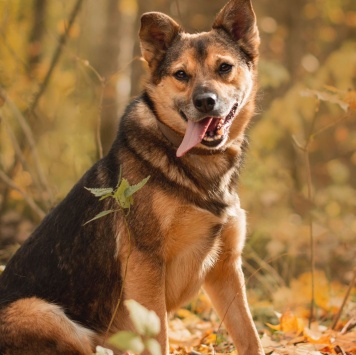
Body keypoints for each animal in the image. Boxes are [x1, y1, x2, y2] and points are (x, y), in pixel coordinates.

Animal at [0, 0, 262, 354]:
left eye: (224, 67)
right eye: (181, 75)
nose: (205, 102)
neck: (196, 165)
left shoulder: (226, 267)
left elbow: (249, 336)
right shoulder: (146, 266)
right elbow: (159, 338)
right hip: (47, 315)